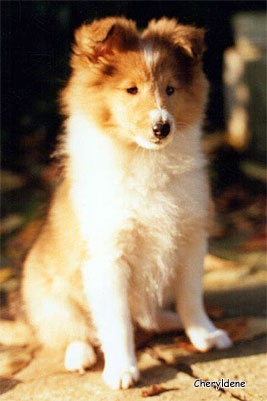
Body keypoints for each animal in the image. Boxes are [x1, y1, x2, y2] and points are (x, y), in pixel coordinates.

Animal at [20, 16, 232, 388]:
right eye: (131, 90)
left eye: (170, 89)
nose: (162, 127)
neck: (145, 159)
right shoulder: (108, 257)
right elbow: (117, 322)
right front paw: (121, 370)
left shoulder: (191, 240)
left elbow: (192, 297)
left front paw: (205, 336)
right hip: (51, 298)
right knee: (72, 332)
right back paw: (80, 355)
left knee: (151, 317)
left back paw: (169, 320)